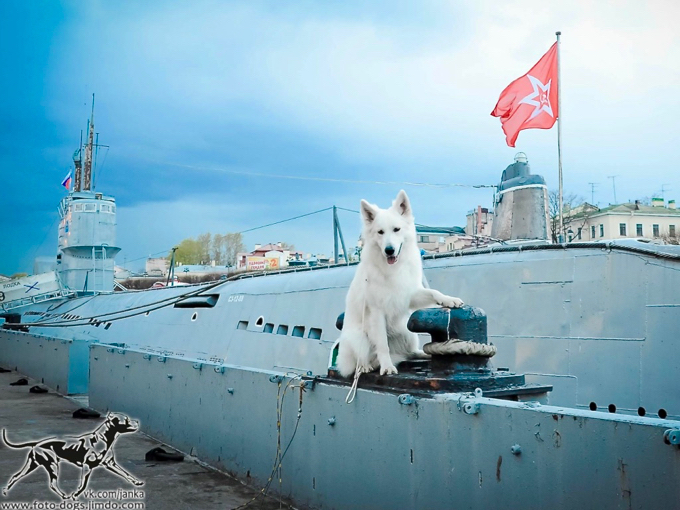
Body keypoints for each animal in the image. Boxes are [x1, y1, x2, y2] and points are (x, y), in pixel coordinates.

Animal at [338, 189, 464, 376]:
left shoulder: (410, 294)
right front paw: (387, 367)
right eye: (380, 232)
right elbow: (382, 345)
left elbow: (433, 292)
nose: (389, 250)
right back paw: (366, 366)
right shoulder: (376, 313)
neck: (393, 269)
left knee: (410, 353)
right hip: (359, 338)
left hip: (408, 332)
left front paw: (449, 300)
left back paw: (424, 354)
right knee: (360, 360)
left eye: (396, 229)